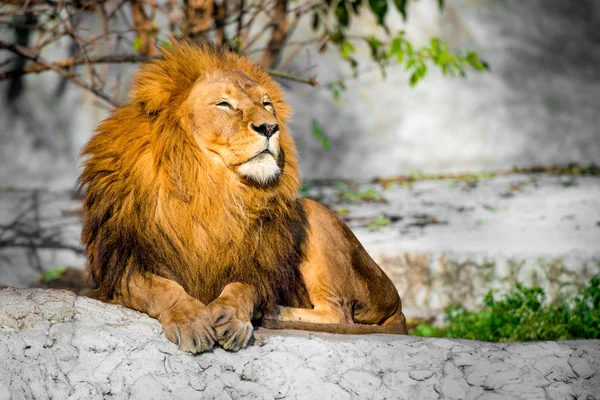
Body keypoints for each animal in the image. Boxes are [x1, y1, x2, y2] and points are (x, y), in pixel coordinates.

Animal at [78, 40, 408, 354]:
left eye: (266, 103)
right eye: (224, 104)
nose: (270, 126)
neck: (211, 187)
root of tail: (398, 305)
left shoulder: (256, 265)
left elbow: (241, 289)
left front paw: (232, 318)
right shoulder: (121, 264)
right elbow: (162, 288)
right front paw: (191, 320)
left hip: (313, 213)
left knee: (339, 313)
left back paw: (274, 312)